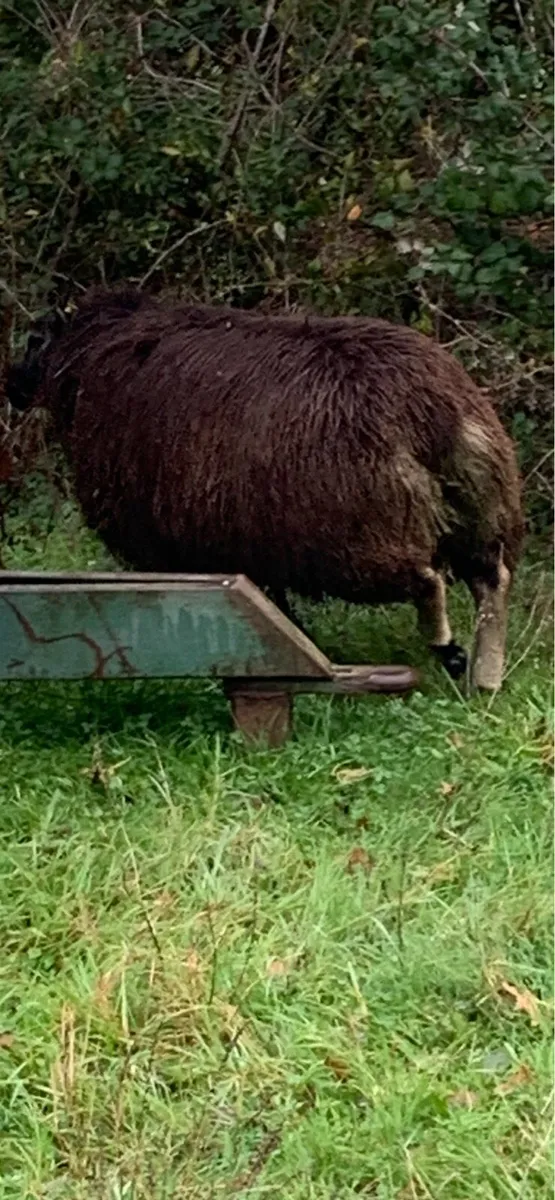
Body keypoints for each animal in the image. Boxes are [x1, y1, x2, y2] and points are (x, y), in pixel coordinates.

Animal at [6, 287, 525, 689]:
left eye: (33, 339)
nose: (9, 385)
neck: (88, 354)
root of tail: (431, 412)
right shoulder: (253, 543)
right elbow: (270, 597)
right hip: (482, 508)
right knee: (491, 581)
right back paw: (485, 674)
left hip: (364, 535)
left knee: (428, 580)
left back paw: (449, 649)